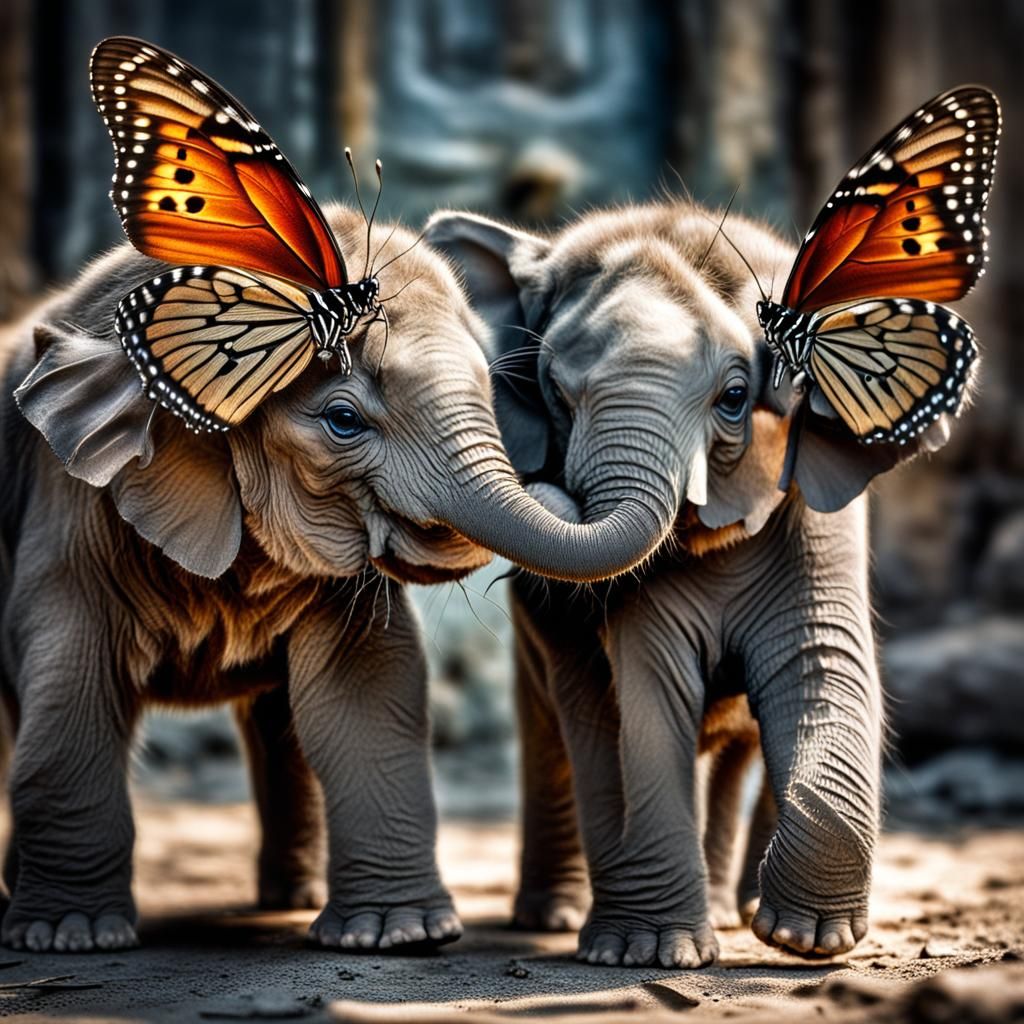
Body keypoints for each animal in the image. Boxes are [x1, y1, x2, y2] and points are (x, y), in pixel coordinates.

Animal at [0, 203, 686, 955]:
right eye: (343, 420)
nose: (555, 484)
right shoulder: (70, 509)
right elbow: (74, 683)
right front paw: (70, 938)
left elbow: (365, 690)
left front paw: (397, 935)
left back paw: (289, 901)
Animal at [425, 202, 959, 967]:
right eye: (555, 392)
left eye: (735, 397)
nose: (547, 488)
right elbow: (642, 694)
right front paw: (648, 954)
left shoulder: (815, 522)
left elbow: (822, 672)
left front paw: (803, 940)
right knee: (562, 730)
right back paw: (557, 918)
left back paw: (741, 913)